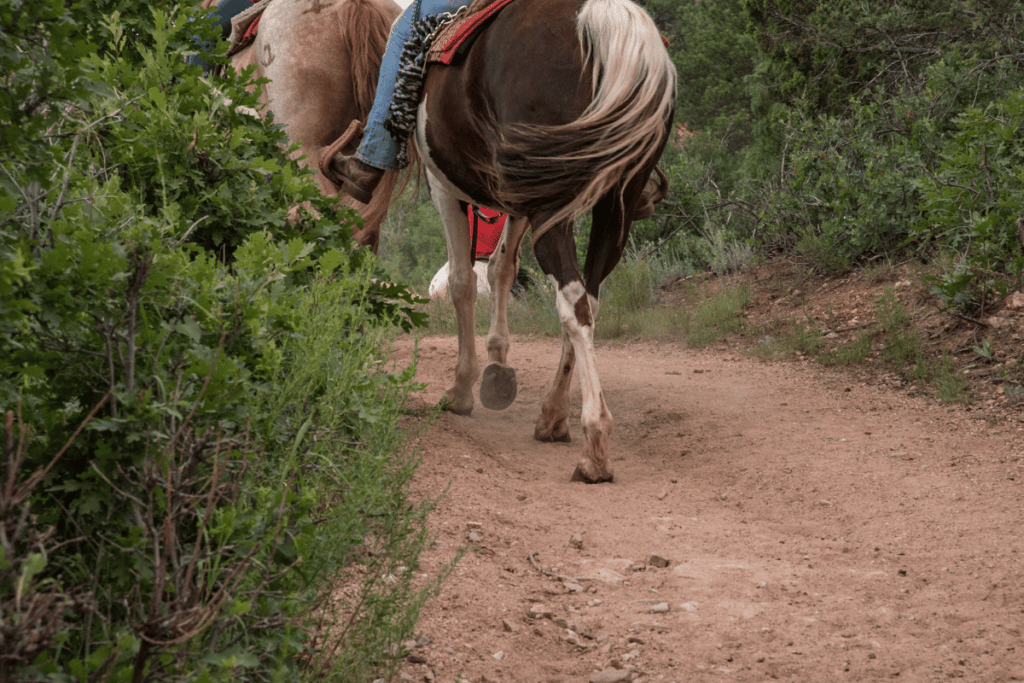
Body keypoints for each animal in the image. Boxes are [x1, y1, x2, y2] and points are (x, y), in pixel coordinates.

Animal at [411, 0, 675, 483]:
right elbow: (501, 269)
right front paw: (497, 370)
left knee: (573, 302)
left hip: (553, 206)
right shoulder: (516, 200)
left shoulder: (445, 187)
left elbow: (462, 281)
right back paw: (553, 415)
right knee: (589, 299)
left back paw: (595, 444)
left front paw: (462, 387)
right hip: (615, 207)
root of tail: (606, 20)